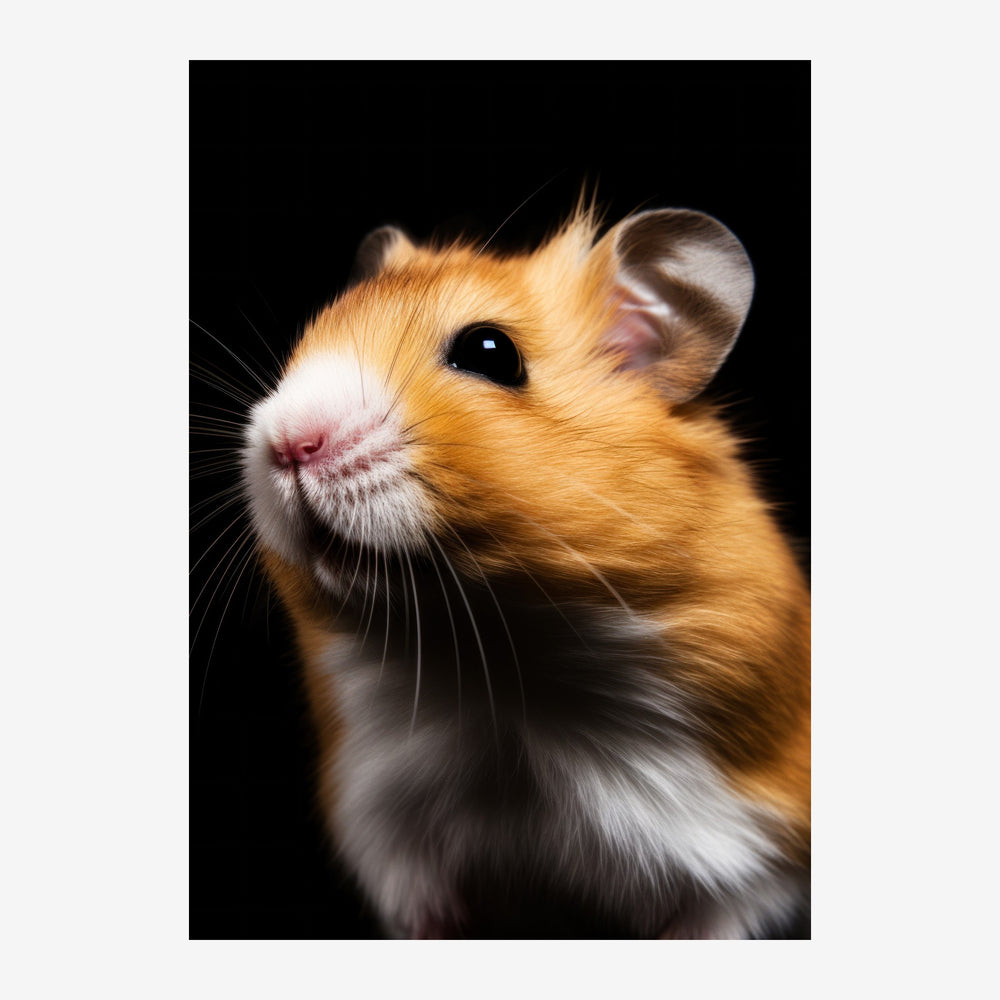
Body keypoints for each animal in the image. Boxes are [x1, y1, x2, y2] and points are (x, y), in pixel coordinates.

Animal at [241, 201, 810, 939]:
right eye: (315, 332)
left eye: (491, 353)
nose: (287, 444)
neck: (490, 662)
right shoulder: (386, 835)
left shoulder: (756, 851)